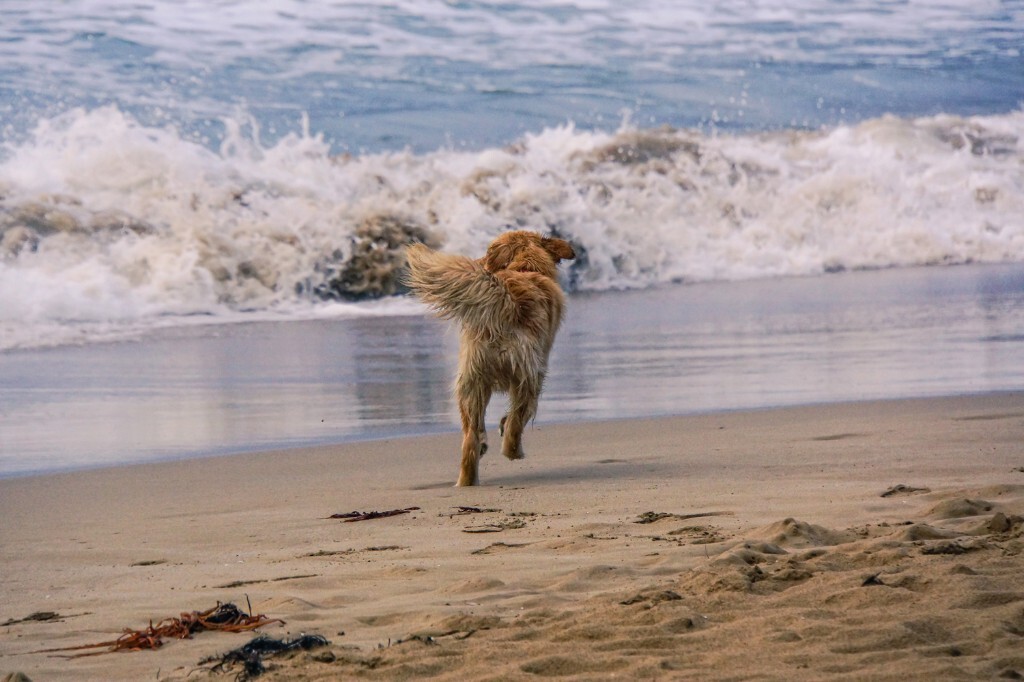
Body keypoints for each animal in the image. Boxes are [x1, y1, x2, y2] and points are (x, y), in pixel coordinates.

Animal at [401, 229, 577, 483]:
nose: (480, 262)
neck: (524, 268)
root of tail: (507, 302)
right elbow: (516, 417)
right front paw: (505, 428)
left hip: (470, 381)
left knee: (470, 439)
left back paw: (468, 478)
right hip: (529, 375)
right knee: (518, 419)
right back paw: (512, 450)